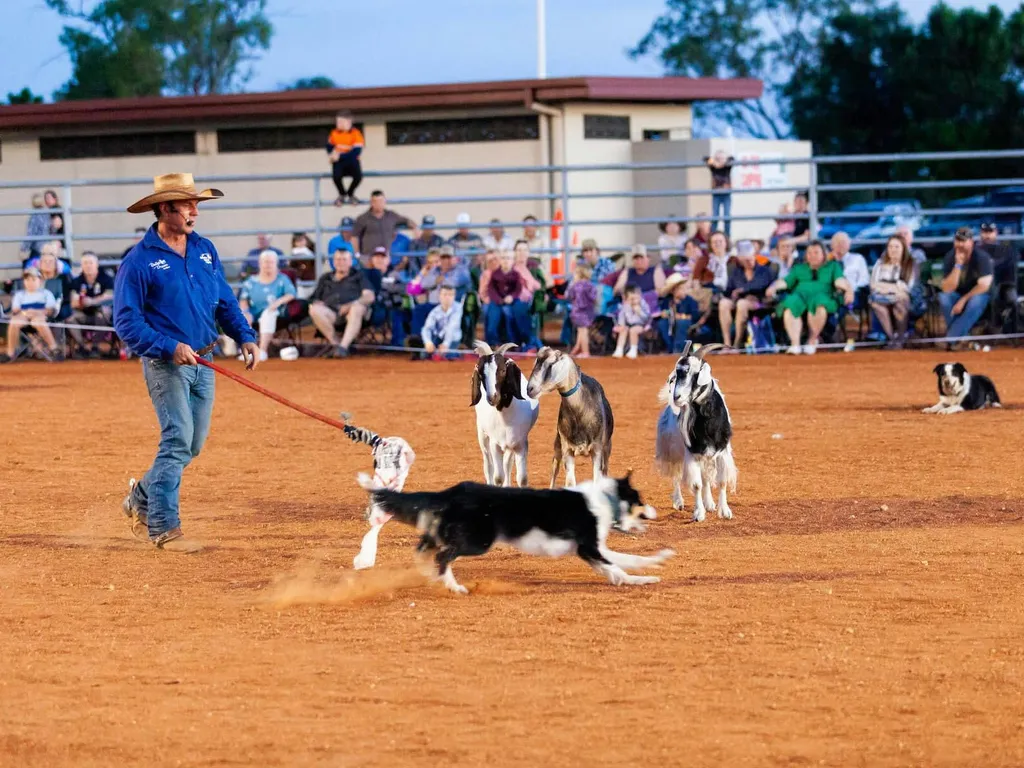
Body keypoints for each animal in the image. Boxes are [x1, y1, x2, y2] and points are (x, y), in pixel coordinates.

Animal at [356, 468, 667, 593]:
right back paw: (454, 586)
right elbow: (619, 566)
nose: (655, 512)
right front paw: (644, 576)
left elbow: (625, 562)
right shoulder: (589, 547)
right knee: (442, 557)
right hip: (479, 540)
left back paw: (430, 575)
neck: (606, 499)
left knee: (424, 547)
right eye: (640, 500)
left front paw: (654, 564)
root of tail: (453, 491)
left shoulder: (593, 550)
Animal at [468, 342, 540, 487]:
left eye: (502, 371)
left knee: (507, 463)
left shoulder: (520, 443)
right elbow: (498, 477)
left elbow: (522, 478)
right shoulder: (495, 444)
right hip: (482, 435)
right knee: (488, 465)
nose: (492, 397)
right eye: (481, 375)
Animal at [524, 348, 610, 487]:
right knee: (554, 469)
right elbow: (570, 482)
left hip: (607, 448)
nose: (529, 389)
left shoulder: (597, 450)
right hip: (557, 446)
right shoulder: (567, 450)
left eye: (550, 365)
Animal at [655, 342, 737, 524]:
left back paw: (709, 503)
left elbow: (721, 482)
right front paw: (699, 514)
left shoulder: (722, 452)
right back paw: (679, 502)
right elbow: (697, 485)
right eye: (677, 373)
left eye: (695, 373)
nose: (677, 397)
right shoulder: (692, 452)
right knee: (676, 475)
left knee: (706, 477)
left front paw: (724, 511)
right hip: (672, 450)